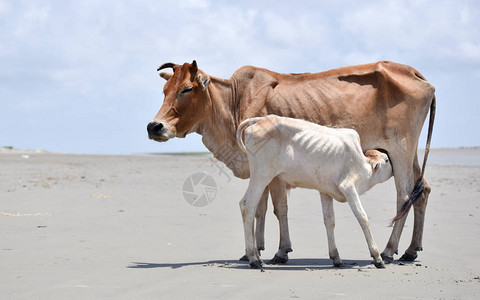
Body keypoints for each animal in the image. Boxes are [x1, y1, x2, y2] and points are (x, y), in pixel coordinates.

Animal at [236, 115, 394, 270]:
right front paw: (377, 258)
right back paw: (253, 259)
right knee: (247, 205)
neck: (362, 164)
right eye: (386, 160)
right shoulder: (349, 188)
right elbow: (362, 217)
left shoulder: (325, 192)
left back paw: (257, 257)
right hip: (262, 175)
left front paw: (336, 258)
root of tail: (260, 119)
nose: (393, 168)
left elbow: (329, 221)